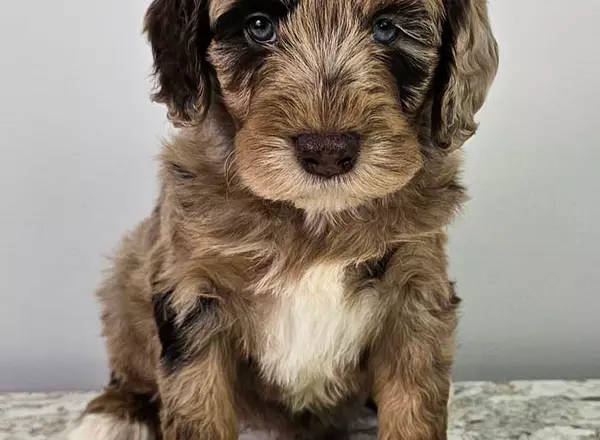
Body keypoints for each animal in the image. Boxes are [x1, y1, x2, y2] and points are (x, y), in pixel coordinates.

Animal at [69, 0, 496, 440]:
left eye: (385, 28)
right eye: (259, 26)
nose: (327, 151)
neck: (315, 217)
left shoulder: (416, 289)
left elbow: (414, 403)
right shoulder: (193, 287)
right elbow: (197, 401)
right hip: (126, 278)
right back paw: (115, 415)